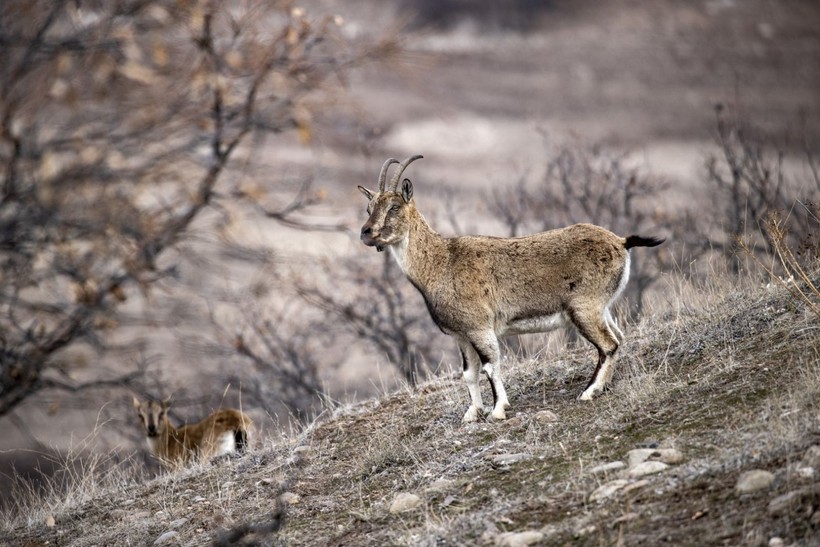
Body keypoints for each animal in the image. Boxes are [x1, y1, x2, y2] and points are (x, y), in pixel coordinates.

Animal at [358, 154, 668, 424]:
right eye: (369, 207)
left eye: (394, 207)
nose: (366, 232)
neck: (441, 263)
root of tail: (621, 242)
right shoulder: (461, 335)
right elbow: (468, 374)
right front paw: (471, 414)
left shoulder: (480, 328)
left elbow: (490, 366)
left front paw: (498, 410)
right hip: (602, 308)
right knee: (618, 337)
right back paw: (603, 386)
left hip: (584, 307)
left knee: (608, 344)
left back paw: (589, 392)